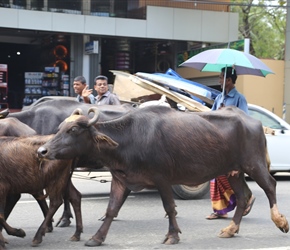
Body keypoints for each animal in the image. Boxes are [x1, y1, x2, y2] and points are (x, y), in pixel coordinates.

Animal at [37, 105, 288, 246]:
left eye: (73, 130)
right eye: (59, 128)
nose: (42, 150)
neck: (129, 139)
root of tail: (254, 122)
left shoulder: (162, 178)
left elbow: (169, 207)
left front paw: (172, 236)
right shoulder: (121, 180)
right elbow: (111, 210)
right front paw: (96, 238)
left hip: (254, 164)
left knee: (270, 186)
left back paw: (280, 221)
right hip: (233, 171)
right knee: (244, 196)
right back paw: (230, 229)